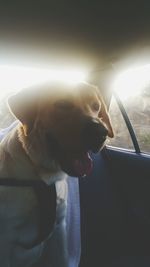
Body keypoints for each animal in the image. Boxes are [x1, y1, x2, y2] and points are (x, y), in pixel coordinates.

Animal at [0, 82, 113, 267]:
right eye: (62, 104)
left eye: (96, 106)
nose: (100, 132)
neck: (41, 175)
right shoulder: (6, 239)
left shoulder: (59, 226)